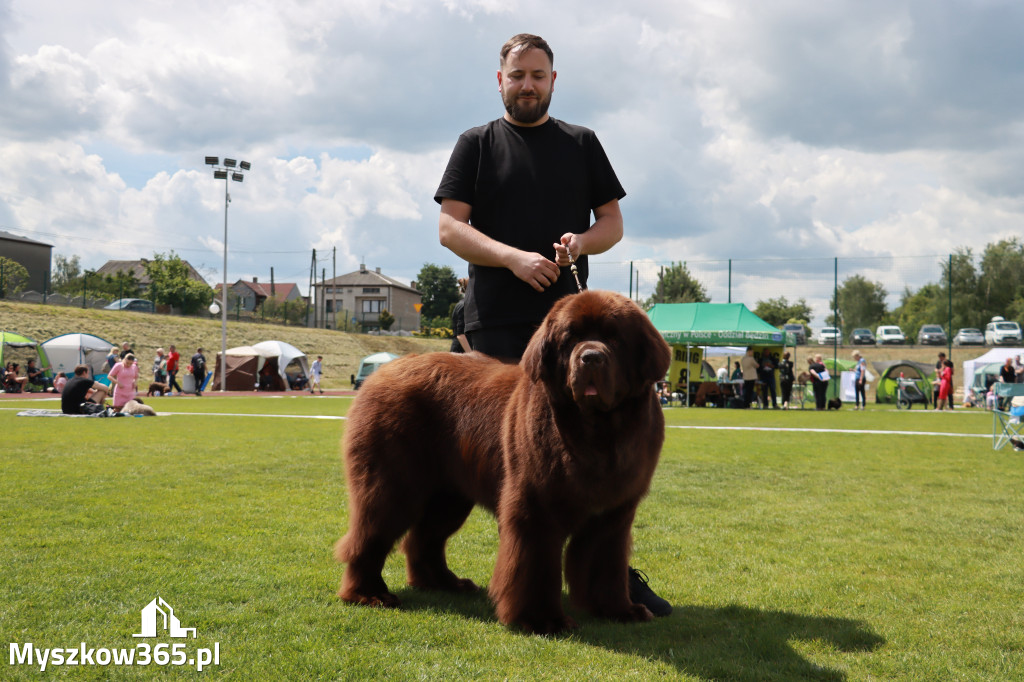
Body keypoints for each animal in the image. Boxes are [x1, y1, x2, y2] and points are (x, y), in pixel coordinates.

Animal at [335, 288, 671, 630]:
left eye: (614, 338)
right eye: (571, 338)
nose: (590, 357)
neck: (598, 429)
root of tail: (382, 373)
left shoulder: (612, 514)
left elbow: (605, 565)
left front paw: (618, 610)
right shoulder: (536, 505)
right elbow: (536, 566)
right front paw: (543, 620)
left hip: (449, 495)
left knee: (424, 539)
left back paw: (443, 583)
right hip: (393, 484)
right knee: (370, 535)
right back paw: (369, 593)